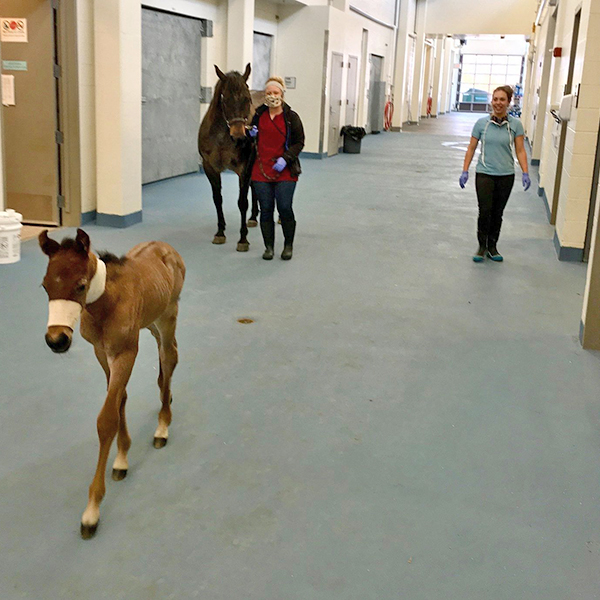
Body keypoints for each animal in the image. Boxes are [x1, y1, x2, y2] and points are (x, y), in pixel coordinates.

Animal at [38, 230, 184, 540]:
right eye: (45, 286)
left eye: (80, 286)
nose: (57, 340)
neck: (106, 304)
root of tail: (167, 248)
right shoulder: (101, 352)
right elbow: (119, 400)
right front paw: (122, 458)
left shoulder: (126, 352)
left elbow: (106, 419)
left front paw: (92, 511)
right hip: (150, 320)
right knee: (164, 359)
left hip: (168, 315)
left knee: (170, 357)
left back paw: (163, 425)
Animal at [199, 64, 258, 252]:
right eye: (224, 99)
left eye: (247, 99)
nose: (239, 134)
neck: (221, 138)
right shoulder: (210, 167)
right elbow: (218, 199)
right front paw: (220, 232)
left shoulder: (244, 169)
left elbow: (242, 202)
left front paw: (243, 239)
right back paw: (254, 217)